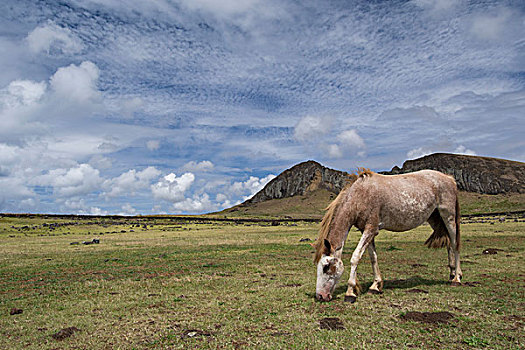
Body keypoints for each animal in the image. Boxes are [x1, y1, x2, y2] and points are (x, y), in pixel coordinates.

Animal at [314, 168, 460, 302]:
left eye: (326, 267)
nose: (320, 296)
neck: (361, 196)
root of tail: (449, 178)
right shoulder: (365, 231)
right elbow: (373, 257)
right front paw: (375, 286)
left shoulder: (371, 229)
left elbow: (355, 257)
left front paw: (350, 292)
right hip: (435, 218)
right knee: (448, 243)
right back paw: (451, 274)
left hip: (449, 217)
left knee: (454, 244)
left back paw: (457, 278)